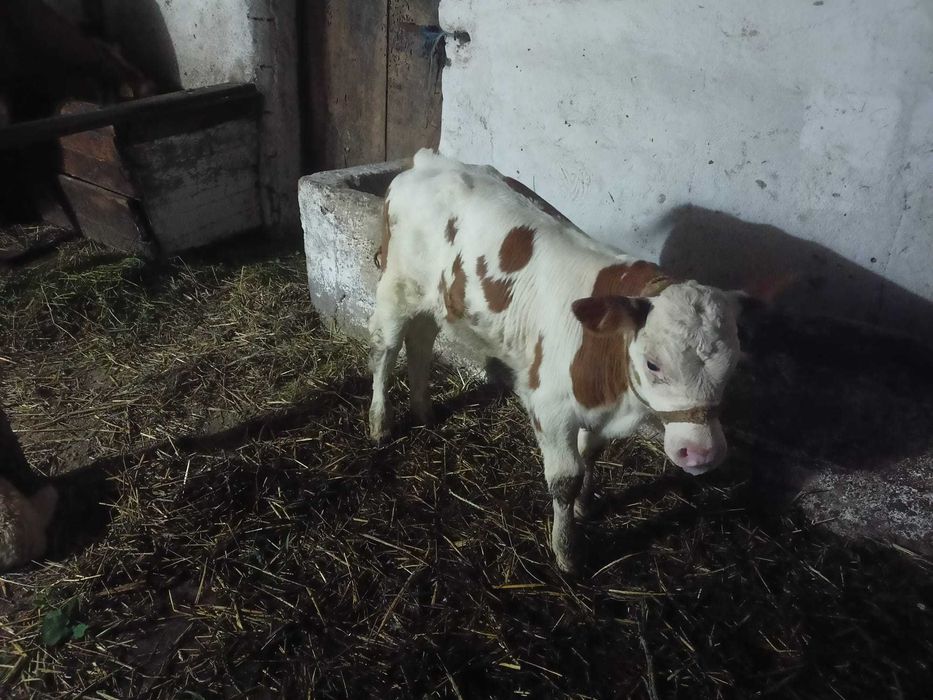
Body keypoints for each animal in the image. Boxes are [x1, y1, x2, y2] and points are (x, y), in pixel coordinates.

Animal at [369, 149, 743, 573]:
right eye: (653, 364)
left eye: (732, 367)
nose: (701, 453)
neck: (613, 394)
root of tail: (428, 160)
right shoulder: (550, 408)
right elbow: (566, 479)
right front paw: (567, 551)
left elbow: (590, 456)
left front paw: (585, 507)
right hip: (397, 287)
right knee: (386, 349)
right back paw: (380, 424)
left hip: (437, 299)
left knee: (420, 342)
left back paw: (424, 411)